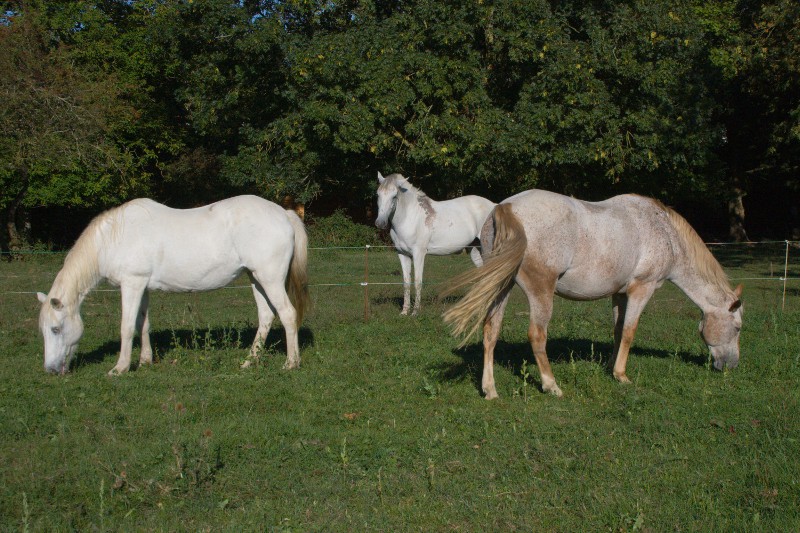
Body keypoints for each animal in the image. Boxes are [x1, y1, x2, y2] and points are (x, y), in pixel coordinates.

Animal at [37, 195, 309, 376]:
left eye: (55, 329)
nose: (50, 369)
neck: (114, 237)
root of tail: (284, 214)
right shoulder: (142, 287)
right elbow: (143, 324)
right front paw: (145, 361)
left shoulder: (132, 284)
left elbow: (127, 327)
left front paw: (120, 368)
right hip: (256, 278)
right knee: (266, 316)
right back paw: (248, 362)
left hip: (269, 279)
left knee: (287, 314)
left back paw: (291, 363)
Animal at [375, 172, 495, 315]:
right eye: (378, 194)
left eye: (394, 196)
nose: (380, 223)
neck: (409, 218)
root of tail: (495, 205)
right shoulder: (402, 254)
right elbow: (406, 283)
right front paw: (404, 312)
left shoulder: (418, 254)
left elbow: (417, 282)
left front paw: (415, 312)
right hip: (475, 250)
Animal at [442, 190, 743, 399]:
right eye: (738, 327)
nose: (731, 366)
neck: (664, 231)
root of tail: (505, 207)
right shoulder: (642, 289)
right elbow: (630, 331)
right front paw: (621, 375)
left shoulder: (619, 294)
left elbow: (618, 330)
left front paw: (611, 367)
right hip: (541, 292)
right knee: (537, 335)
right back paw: (552, 386)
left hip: (501, 288)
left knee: (490, 331)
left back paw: (490, 390)